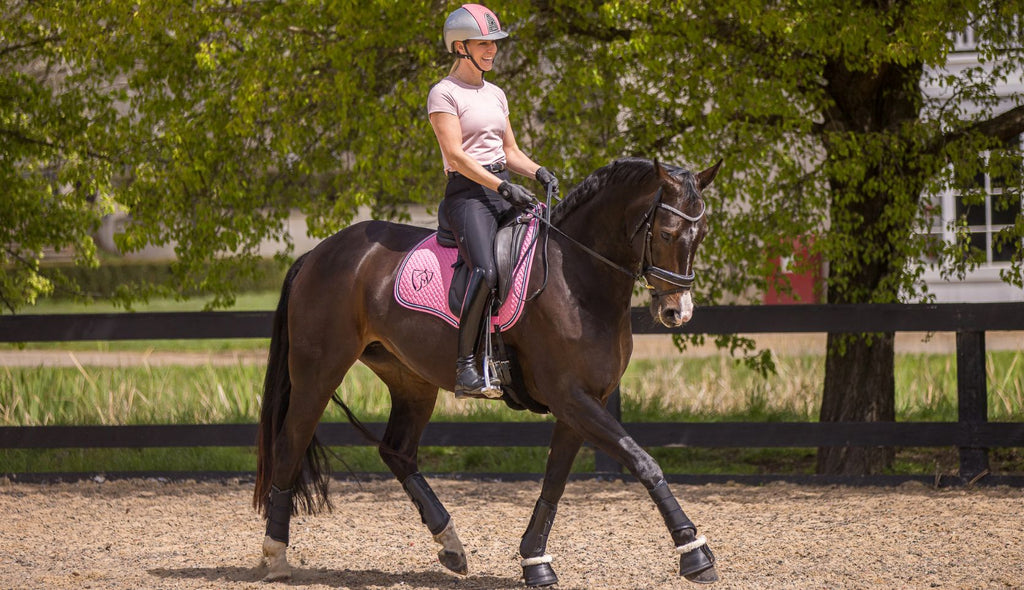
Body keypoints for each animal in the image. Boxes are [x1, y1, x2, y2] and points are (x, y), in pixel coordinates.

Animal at [253, 156, 723, 586]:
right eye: (666, 233)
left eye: (700, 234)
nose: (677, 312)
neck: (577, 277)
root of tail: (319, 253)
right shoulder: (572, 398)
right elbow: (644, 462)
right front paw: (694, 553)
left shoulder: (586, 401)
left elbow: (555, 481)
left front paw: (535, 561)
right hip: (318, 372)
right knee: (290, 444)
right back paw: (276, 556)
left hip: (411, 380)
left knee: (397, 452)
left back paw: (451, 546)